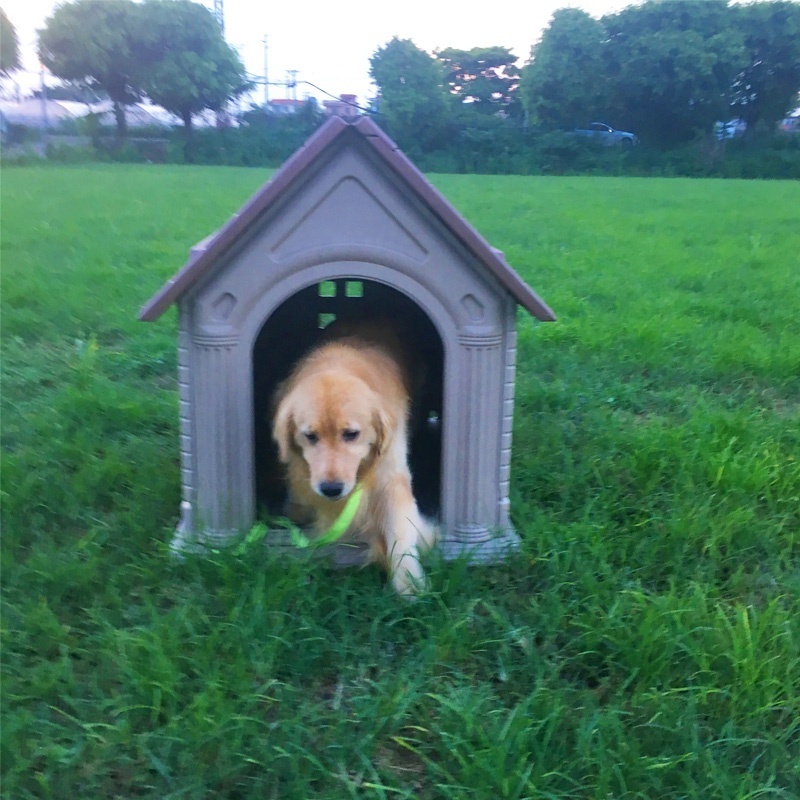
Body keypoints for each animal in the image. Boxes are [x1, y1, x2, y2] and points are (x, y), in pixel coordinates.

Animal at [272, 324, 434, 592]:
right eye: (310, 436)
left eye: (351, 434)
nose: (331, 489)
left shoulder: (391, 474)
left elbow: (400, 531)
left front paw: (409, 583)